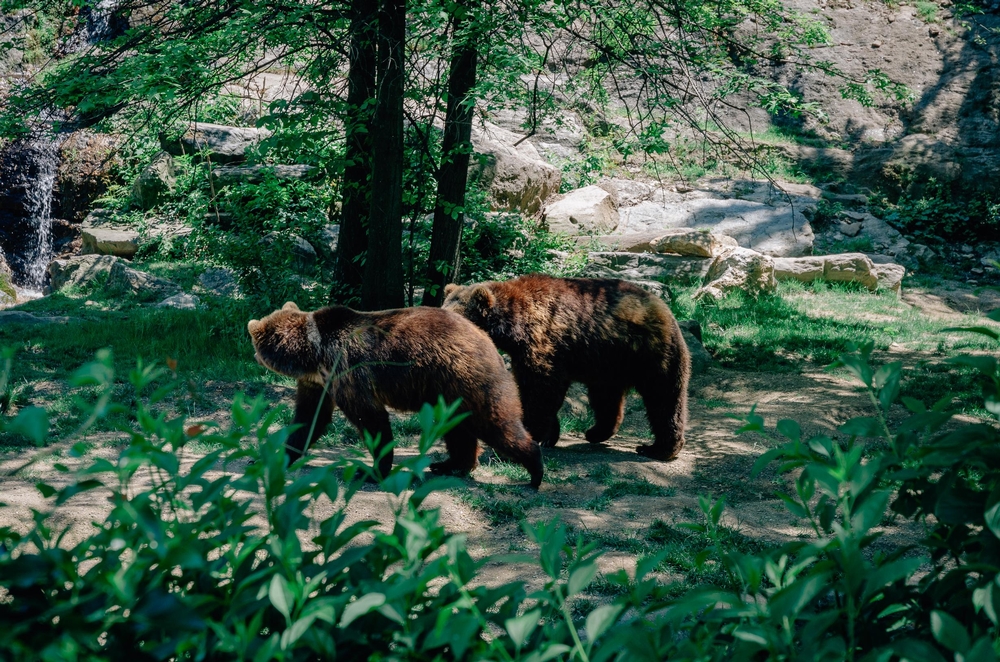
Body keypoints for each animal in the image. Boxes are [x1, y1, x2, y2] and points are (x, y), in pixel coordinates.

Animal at [250, 304, 548, 488]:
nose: (252, 354)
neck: (315, 355)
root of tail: (487, 341)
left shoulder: (347, 370)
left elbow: (370, 419)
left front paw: (371, 470)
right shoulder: (318, 382)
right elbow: (308, 419)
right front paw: (274, 456)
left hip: (467, 380)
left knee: (495, 424)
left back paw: (535, 470)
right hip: (449, 393)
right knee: (457, 429)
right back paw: (450, 465)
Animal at [442, 274, 692, 462]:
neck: (513, 327)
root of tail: (666, 310)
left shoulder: (543, 341)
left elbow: (541, 391)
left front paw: (528, 437)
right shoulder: (523, 354)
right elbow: (535, 388)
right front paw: (549, 435)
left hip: (647, 354)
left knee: (663, 399)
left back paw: (658, 448)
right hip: (607, 363)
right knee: (606, 398)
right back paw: (596, 432)